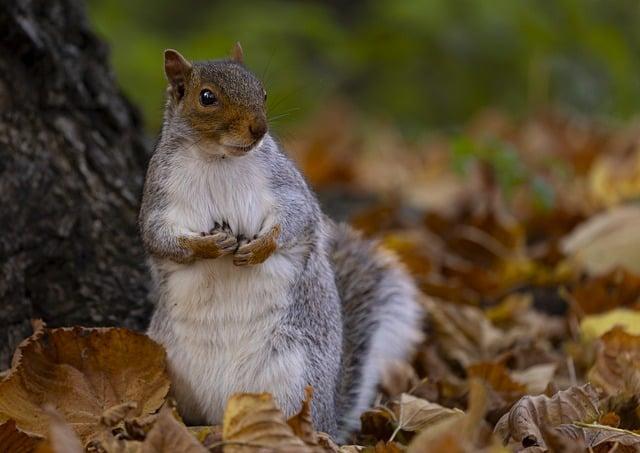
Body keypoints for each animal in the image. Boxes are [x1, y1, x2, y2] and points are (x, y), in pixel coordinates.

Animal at [140, 44, 422, 440]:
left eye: (263, 92)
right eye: (206, 97)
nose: (259, 129)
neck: (218, 159)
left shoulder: (285, 186)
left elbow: (298, 218)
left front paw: (261, 247)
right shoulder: (159, 199)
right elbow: (158, 237)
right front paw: (207, 247)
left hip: (293, 374)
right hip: (170, 369)